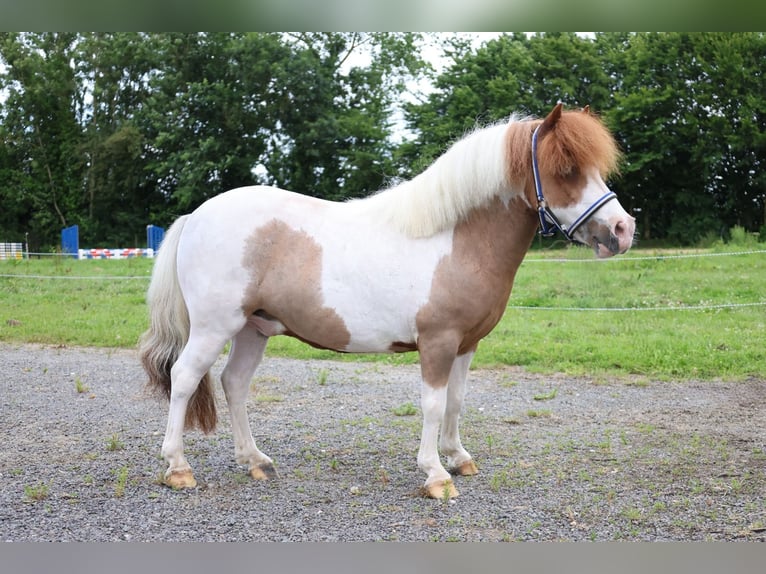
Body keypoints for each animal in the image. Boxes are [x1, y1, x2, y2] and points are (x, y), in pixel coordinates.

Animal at [138, 103, 635, 499]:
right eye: (566, 169)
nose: (623, 229)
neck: (455, 240)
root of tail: (196, 216)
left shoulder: (466, 344)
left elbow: (456, 400)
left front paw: (458, 457)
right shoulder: (438, 342)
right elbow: (433, 404)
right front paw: (436, 474)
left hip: (252, 328)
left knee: (235, 383)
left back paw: (255, 460)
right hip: (214, 327)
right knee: (184, 378)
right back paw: (178, 467)